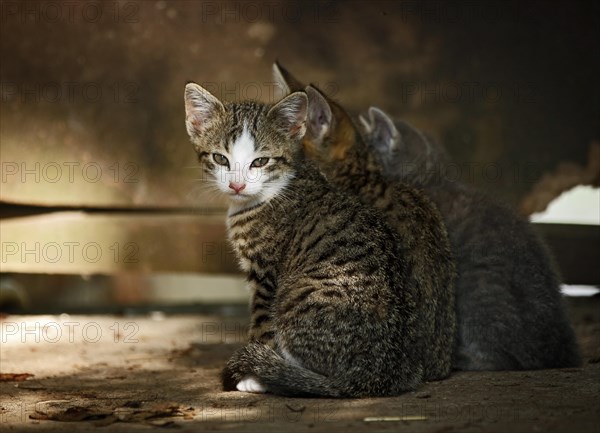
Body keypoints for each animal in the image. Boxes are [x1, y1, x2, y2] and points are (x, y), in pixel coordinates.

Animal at [183, 82, 426, 396]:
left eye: (260, 161)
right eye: (220, 158)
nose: (237, 185)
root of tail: (372, 376)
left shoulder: (266, 274)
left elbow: (262, 324)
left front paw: (253, 374)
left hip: (292, 298)